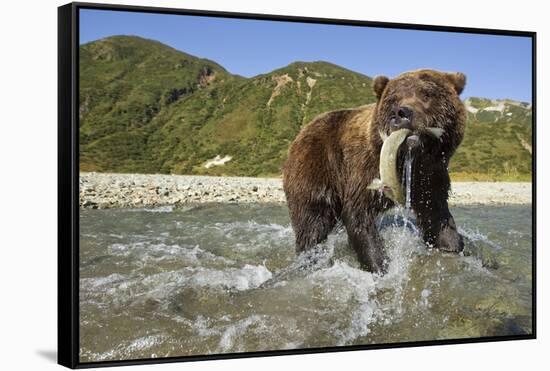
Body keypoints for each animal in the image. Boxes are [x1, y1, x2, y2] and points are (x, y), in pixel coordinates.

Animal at [282, 69, 468, 274]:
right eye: (393, 99)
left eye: (426, 94)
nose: (400, 113)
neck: (410, 159)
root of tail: (302, 131)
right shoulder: (363, 168)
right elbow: (359, 214)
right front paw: (379, 265)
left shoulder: (431, 175)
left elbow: (437, 215)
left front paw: (452, 245)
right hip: (317, 165)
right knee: (312, 220)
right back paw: (309, 255)